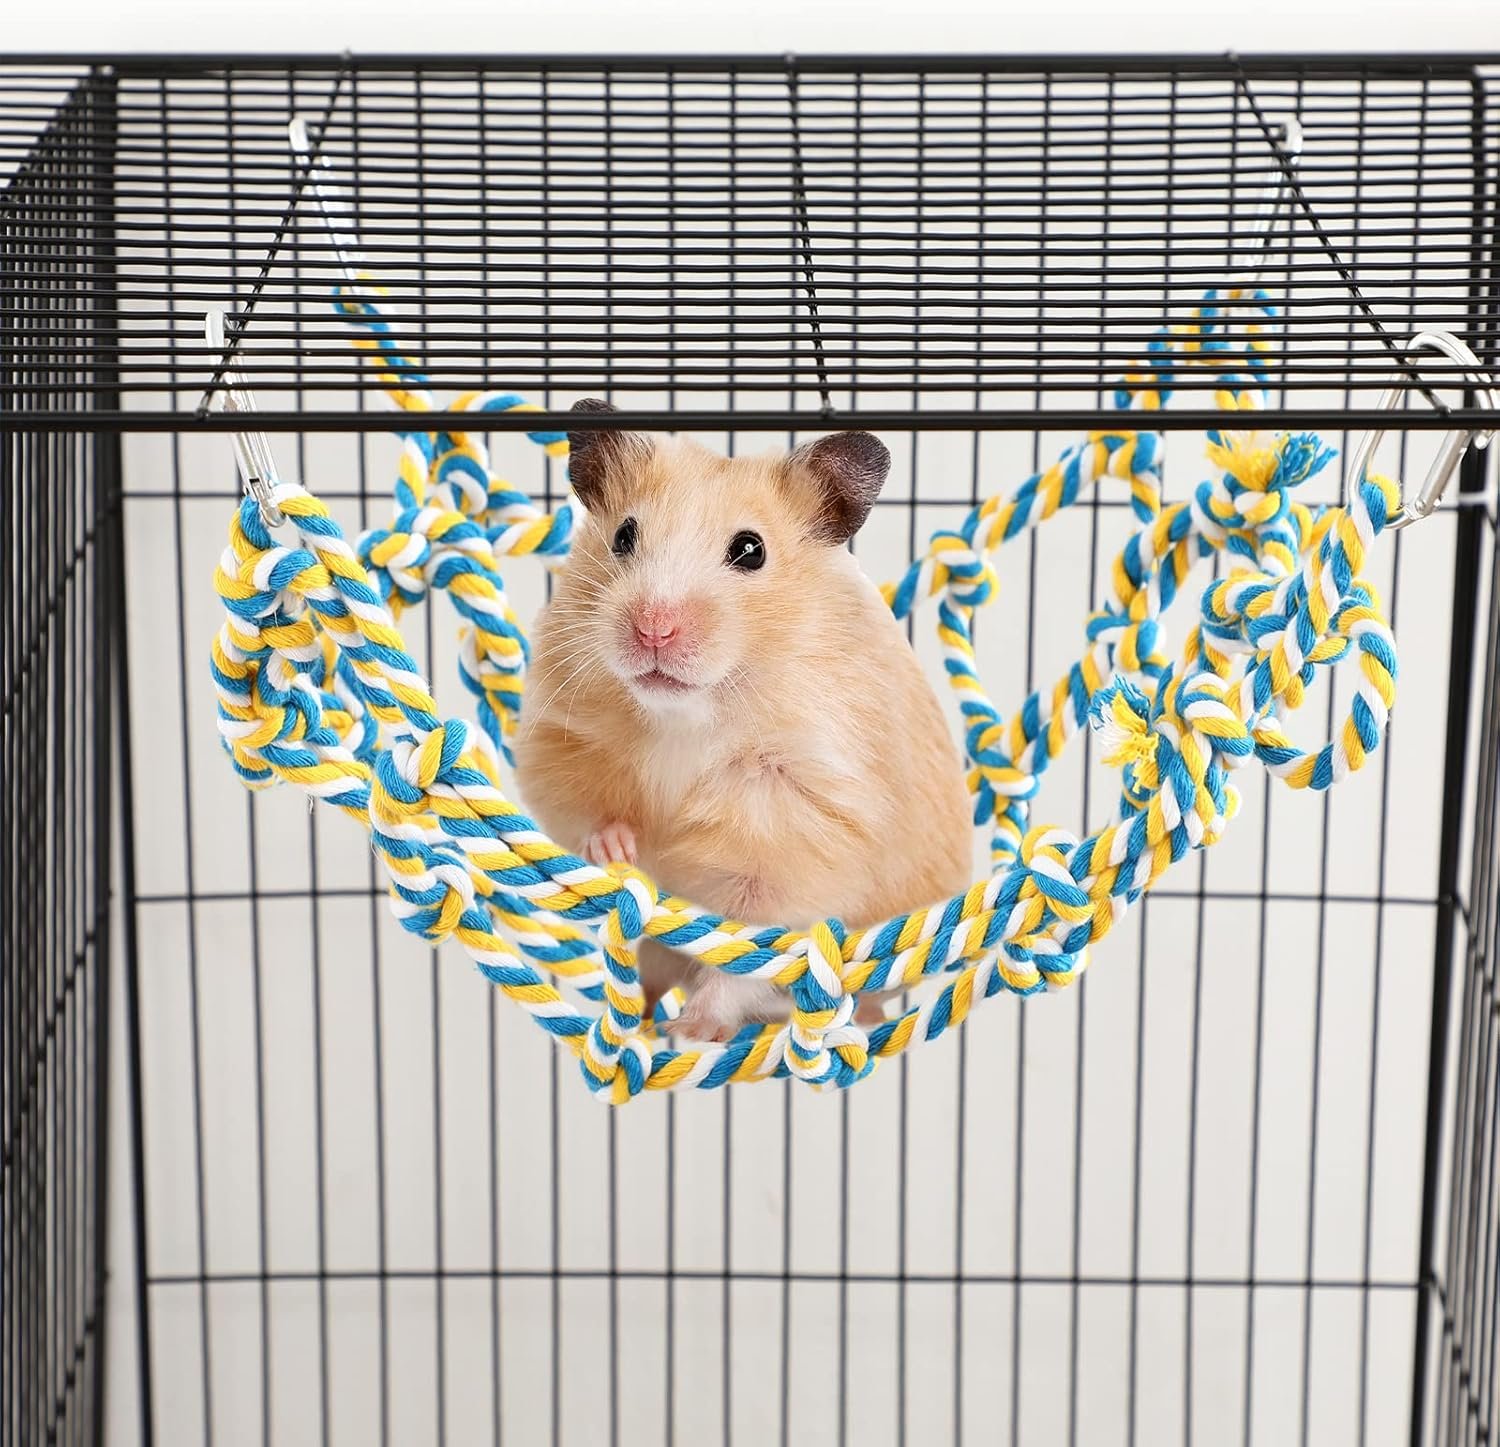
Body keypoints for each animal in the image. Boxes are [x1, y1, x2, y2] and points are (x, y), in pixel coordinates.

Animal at [513, 400, 974, 1043]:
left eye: (751, 549)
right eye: (624, 535)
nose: (653, 629)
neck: (687, 716)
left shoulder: (798, 824)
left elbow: (751, 951)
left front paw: (697, 1030)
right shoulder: (560, 738)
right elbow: (581, 812)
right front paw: (618, 844)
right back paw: (639, 1024)